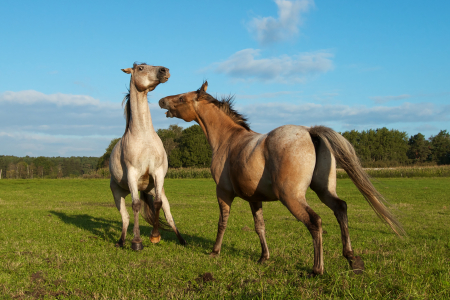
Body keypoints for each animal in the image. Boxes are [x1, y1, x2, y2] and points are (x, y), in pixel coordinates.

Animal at [109, 62, 185, 248]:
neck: (143, 136)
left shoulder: (157, 173)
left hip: (156, 189)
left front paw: (155, 236)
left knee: (168, 214)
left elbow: (158, 205)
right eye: (141, 68)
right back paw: (121, 241)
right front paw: (137, 242)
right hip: (118, 193)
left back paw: (182, 240)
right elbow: (136, 205)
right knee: (125, 218)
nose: (165, 70)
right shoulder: (132, 174)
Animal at [159, 81, 404, 276]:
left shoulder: (223, 193)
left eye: (181, 98)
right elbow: (260, 226)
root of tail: (310, 132)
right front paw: (263, 257)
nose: (162, 101)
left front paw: (214, 251)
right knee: (340, 208)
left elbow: (222, 222)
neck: (228, 140)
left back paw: (317, 269)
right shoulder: (254, 198)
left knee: (315, 221)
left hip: (292, 197)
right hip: (324, 191)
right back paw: (352, 259)